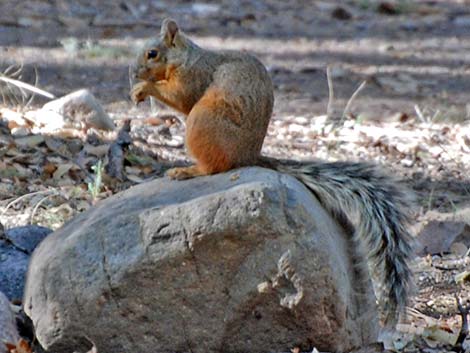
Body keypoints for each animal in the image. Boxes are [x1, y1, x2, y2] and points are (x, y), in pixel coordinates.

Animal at [130, 17, 414, 324]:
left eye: (152, 53)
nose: (133, 72)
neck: (185, 58)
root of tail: (248, 156)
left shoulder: (196, 77)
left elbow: (182, 97)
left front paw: (144, 88)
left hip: (203, 120)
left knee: (216, 165)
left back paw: (189, 171)